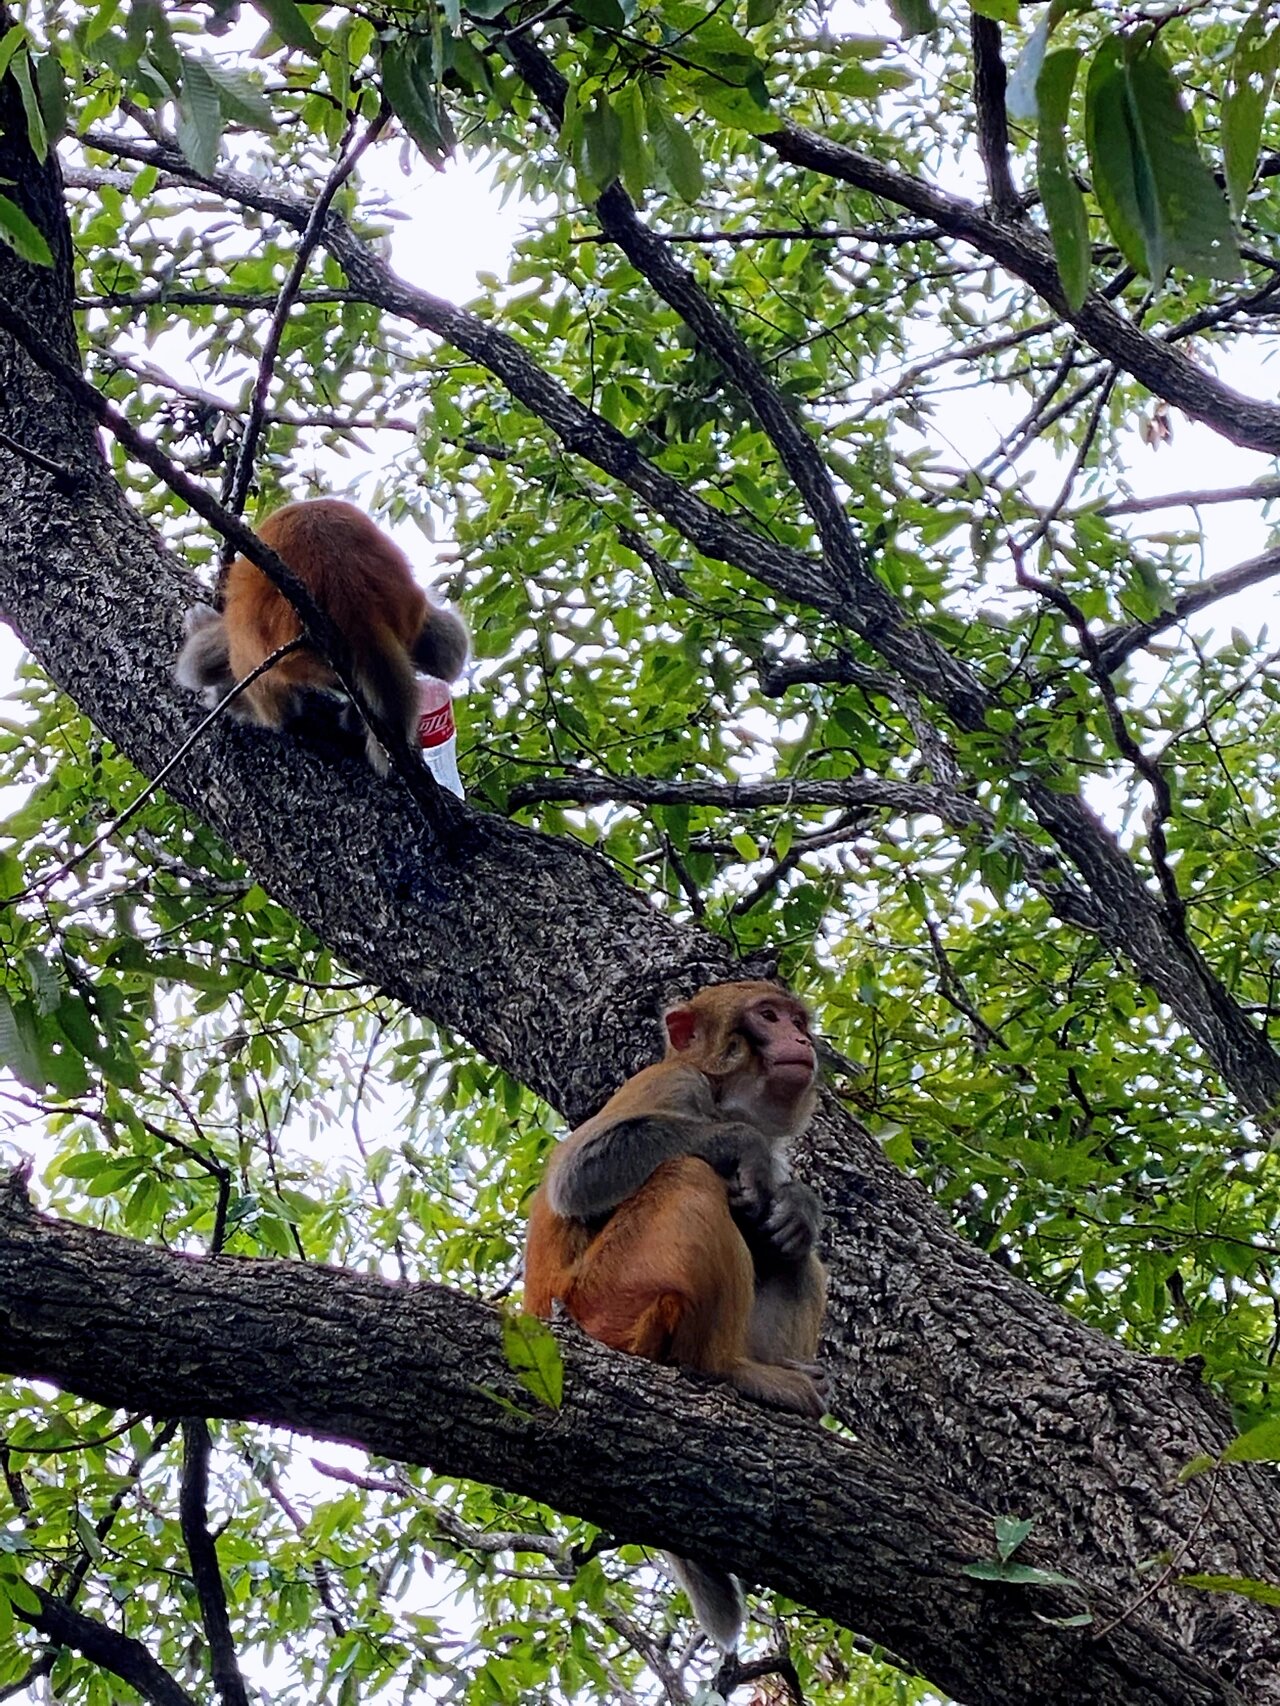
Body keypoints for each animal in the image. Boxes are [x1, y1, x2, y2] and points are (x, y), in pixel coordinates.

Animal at [522, 989, 832, 1651]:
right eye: (768, 1016)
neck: (719, 1096)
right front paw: (745, 1144)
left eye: (797, 1019)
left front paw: (799, 1204)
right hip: (609, 1302)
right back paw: (731, 1371)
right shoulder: (672, 1084)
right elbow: (581, 1174)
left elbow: (781, 1221)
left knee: (791, 1252)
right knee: (686, 1174)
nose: (801, 1040)